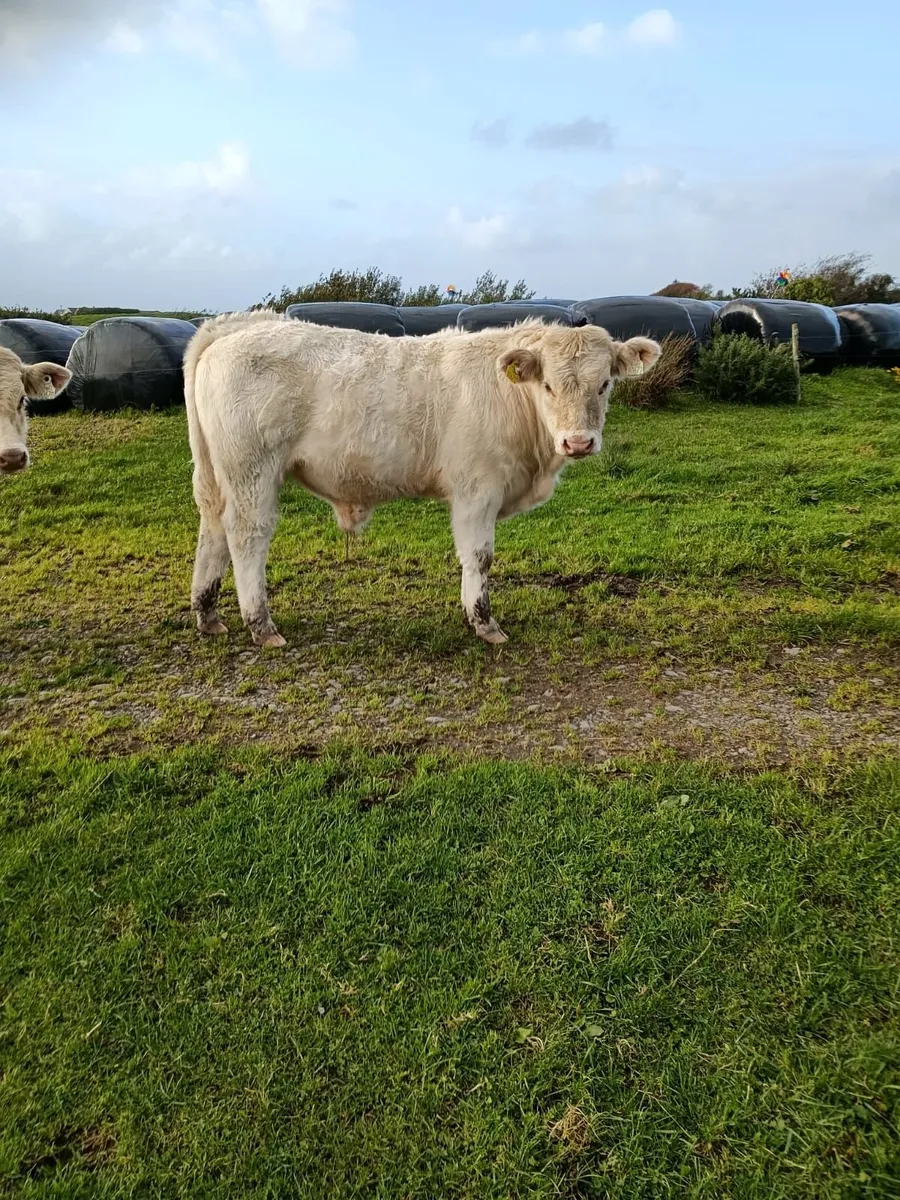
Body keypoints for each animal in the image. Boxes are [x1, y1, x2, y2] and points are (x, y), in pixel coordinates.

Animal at [184, 311, 660, 647]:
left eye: (604, 384)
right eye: (548, 386)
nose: (578, 442)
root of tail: (236, 327)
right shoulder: (477, 490)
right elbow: (479, 557)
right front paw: (484, 622)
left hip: (219, 476)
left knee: (213, 529)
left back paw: (208, 615)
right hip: (252, 469)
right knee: (247, 536)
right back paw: (261, 625)